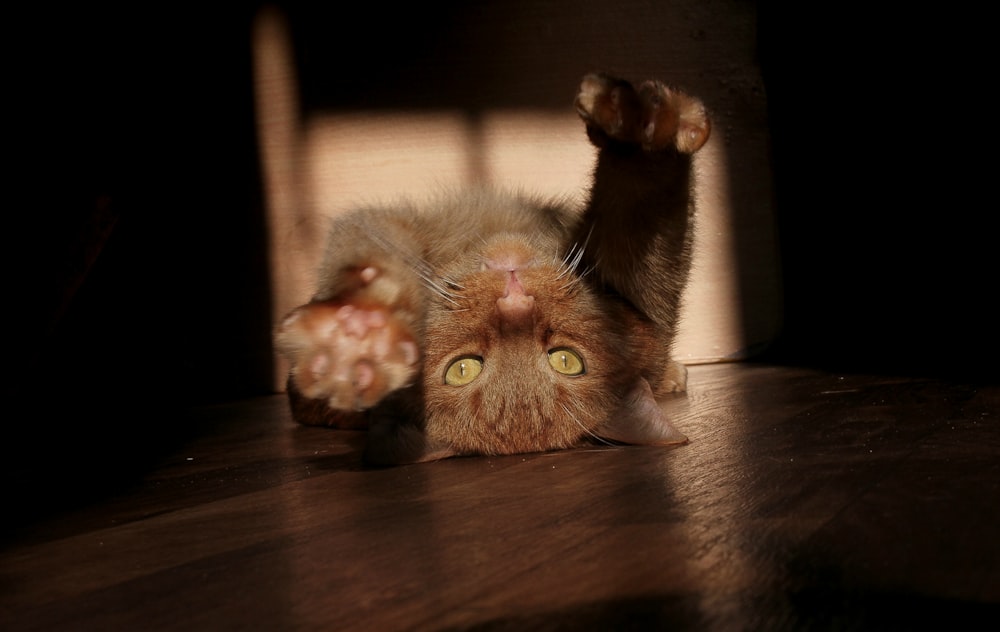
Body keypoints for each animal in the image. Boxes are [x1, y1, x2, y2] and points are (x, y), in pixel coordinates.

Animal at [274, 73, 712, 464]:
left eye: (566, 360)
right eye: (462, 369)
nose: (513, 298)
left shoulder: (645, 308)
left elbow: (646, 214)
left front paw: (640, 119)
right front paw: (359, 334)